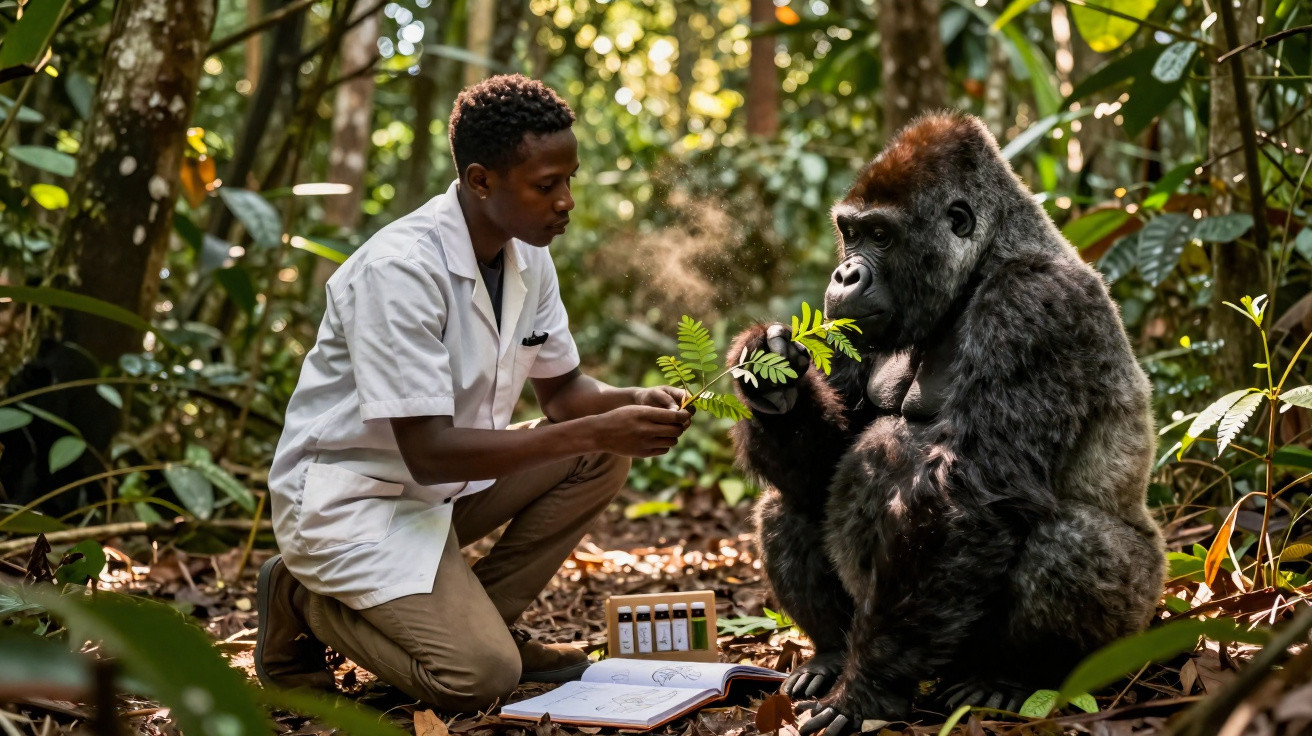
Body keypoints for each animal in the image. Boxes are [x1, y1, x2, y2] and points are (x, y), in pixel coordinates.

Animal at [729, 112, 1164, 735]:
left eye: (881, 236)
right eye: (850, 232)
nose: (844, 274)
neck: (986, 259)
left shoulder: (1032, 304)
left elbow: (972, 490)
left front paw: (864, 692)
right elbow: (823, 468)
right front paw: (773, 385)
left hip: (1133, 620)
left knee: (1070, 542)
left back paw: (1006, 678)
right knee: (786, 505)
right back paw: (831, 653)